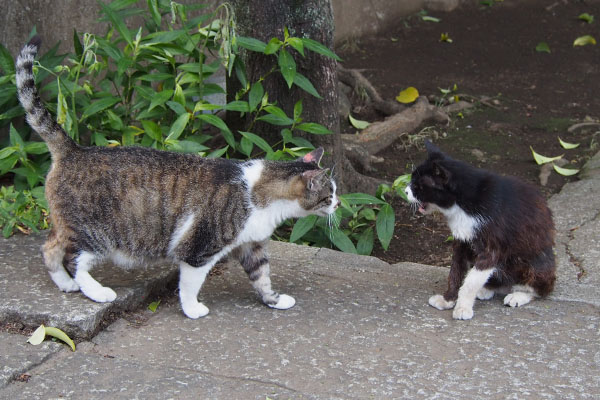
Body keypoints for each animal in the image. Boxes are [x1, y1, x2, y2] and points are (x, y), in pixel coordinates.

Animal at [406, 142, 556, 320]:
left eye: (418, 186)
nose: (405, 191)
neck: (463, 204)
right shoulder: (462, 241)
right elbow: (455, 272)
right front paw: (448, 299)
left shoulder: (492, 249)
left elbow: (471, 282)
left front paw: (462, 307)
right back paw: (486, 289)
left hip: (538, 261)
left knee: (541, 288)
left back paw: (519, 294)